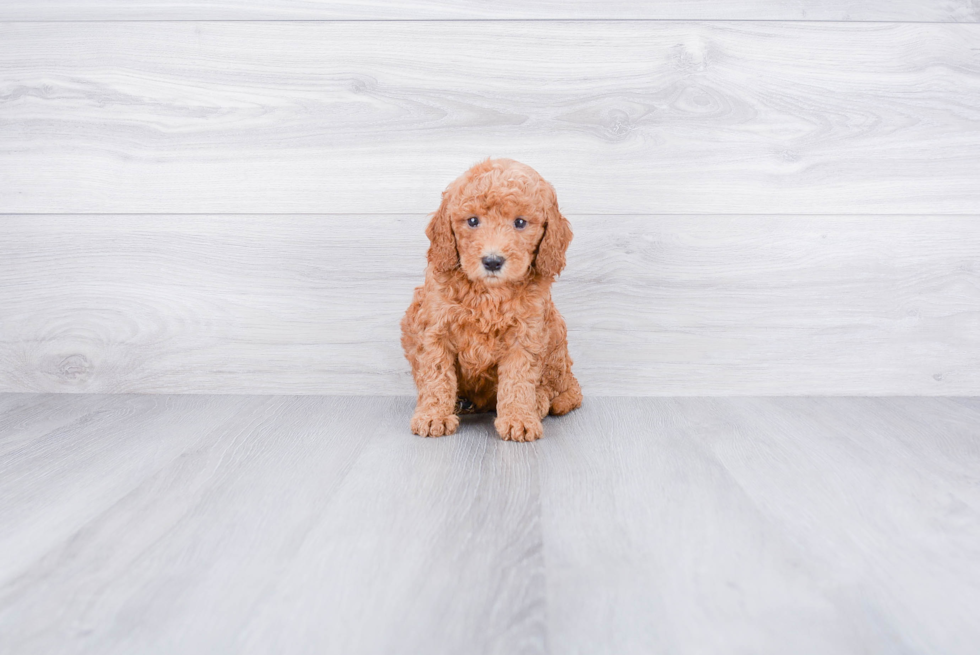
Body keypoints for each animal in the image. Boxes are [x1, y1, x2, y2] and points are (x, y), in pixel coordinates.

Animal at [400, 158, 580, 440]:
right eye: (473, 221)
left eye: (520, 223)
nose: (493, 261)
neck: (489, 293)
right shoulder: (434, 329)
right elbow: (437, 375)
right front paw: (433, 415)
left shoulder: (526, 333)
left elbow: (518, 379)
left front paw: (518, 418)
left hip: (555, 332)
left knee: (556, 387)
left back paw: (539, 401)